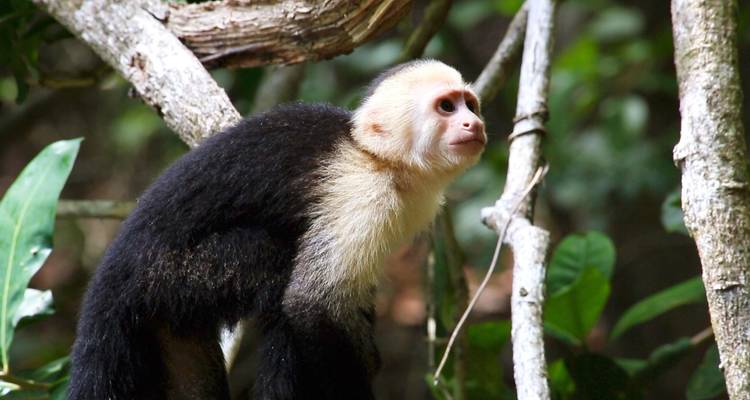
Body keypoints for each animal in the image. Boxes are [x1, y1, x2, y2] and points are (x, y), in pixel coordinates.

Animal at [68, 59, 486, 400]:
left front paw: (368, 346)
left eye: (470, 104)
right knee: (276, 274)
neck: (378, 158)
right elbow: (311, 303)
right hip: (167, 276)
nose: (476, 123)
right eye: (446, 107)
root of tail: (111, 274)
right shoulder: (362, 192)